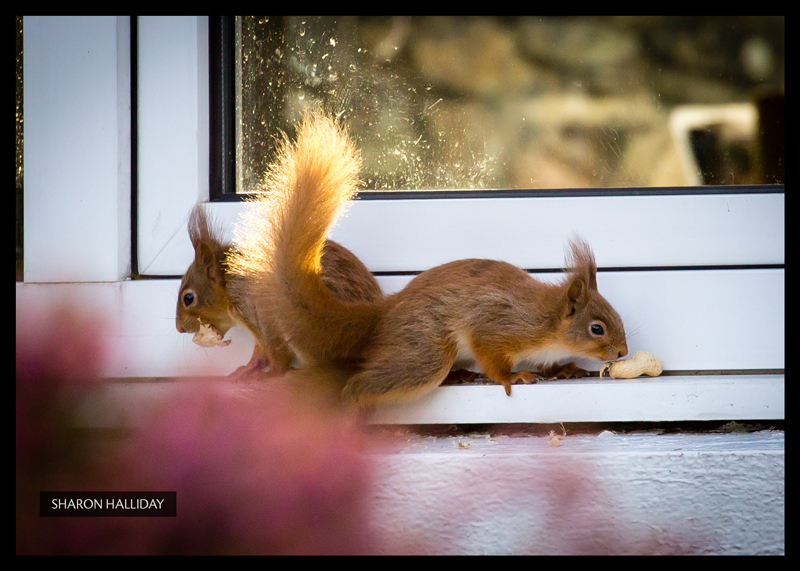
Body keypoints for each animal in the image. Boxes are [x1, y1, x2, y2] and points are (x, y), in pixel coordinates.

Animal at [228, 109, 628, 404]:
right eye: (596, 328)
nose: (623, 352)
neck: (546, 324)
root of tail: (386, 312)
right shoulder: (498, 325)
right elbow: (491, 354)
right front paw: (512, 376)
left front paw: (566, 369)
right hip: (426, 348)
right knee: (367, 382)